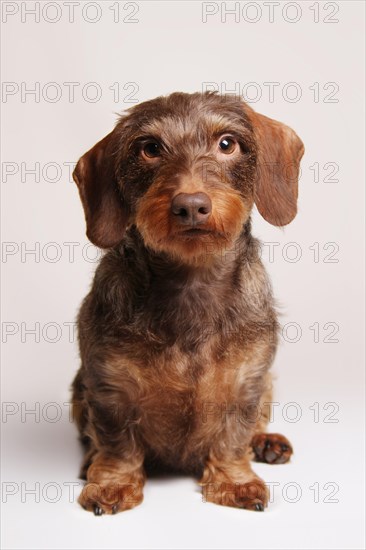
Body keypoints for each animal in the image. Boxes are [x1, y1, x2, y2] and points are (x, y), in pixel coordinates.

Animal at [71, 91, 304, 516]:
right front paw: (112, 483)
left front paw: (234, 481)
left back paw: (266, 442)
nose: (191, 205)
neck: (191, 283)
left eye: (227, 144)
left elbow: (232, 436)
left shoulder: (248, 381)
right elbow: (116, 443)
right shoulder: (108, 385)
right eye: (149, 149)